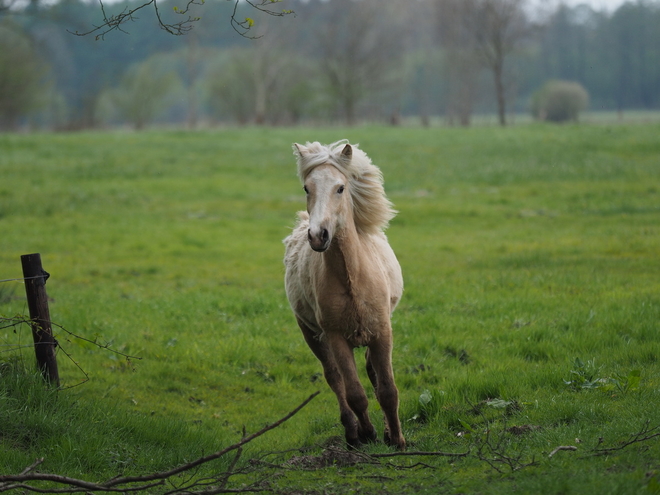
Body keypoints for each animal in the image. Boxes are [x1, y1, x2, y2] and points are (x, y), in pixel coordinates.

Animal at [282, 140, 404, 450]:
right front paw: (368, 434)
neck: (352, 279)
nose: (318, 236)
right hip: (311, 334)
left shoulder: (382, 331)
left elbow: (387, 390)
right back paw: (352, 434)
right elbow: (355, 394)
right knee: (334, 379)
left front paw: (397, 441)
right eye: (307, 188)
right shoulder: (336, 337)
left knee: (371, 372)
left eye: (340, 188)